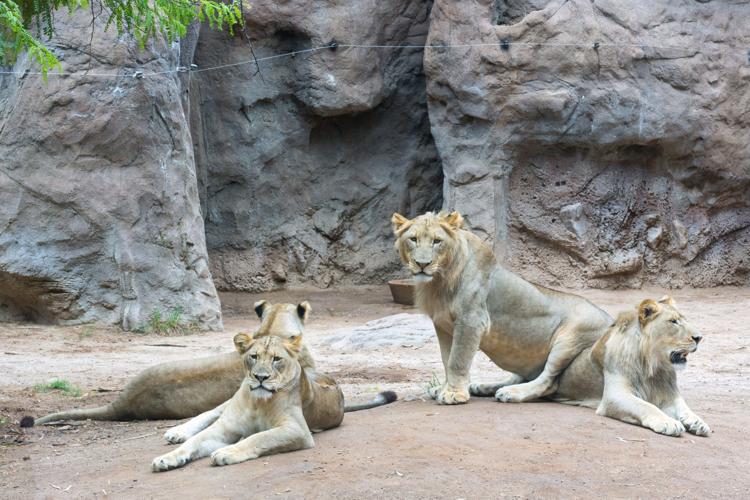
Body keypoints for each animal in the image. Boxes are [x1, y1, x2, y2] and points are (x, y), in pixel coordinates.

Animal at [152, 332, 342, 471]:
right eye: (254, 356)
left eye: (276, 359)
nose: (261, 377)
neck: (257, 402)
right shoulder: (225, 427)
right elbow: (195, 440)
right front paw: (167, 458)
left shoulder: (297, 429)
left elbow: (258, 437)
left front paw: (227, 451)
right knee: (210, 413)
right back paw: (177, 432)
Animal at [391, 211, 613, 405]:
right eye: (413, 239)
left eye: (437, 241)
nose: (422, 264)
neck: (439, 281)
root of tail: (612, 320)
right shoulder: (443, 325)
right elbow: (447, 359)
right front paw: (446, 388)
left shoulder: (471, 320)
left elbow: (457, 360)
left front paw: (454, 394)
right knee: (523, 376)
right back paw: (483, 387)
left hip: (569, 338)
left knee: (548, 381)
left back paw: (510, 393)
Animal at [551, 297, 710, 437]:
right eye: (673, 321)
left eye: (685, 320)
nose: (699, 338)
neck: (653, 366)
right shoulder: (615, 396)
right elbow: (647, 406)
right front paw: (669, 423)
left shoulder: (669, 394)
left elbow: (684, 407)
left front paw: (698, 422)